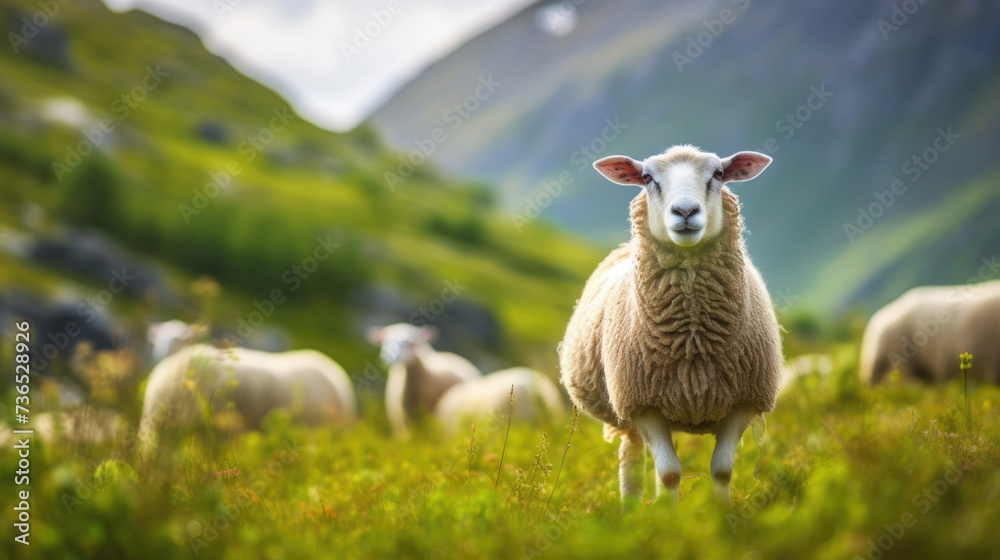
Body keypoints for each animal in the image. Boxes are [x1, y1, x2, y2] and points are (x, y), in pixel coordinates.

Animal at [560, 143, 784, 504]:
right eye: (647, 178)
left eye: (718, 174)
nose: (685, 211)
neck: (693, 341)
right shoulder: (643, 405)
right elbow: (669, 474)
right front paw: (671, 517)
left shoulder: (744, 401)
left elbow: (721, 470)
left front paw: (723, 515)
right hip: (629, 412)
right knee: (633, 460)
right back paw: (631, 509)